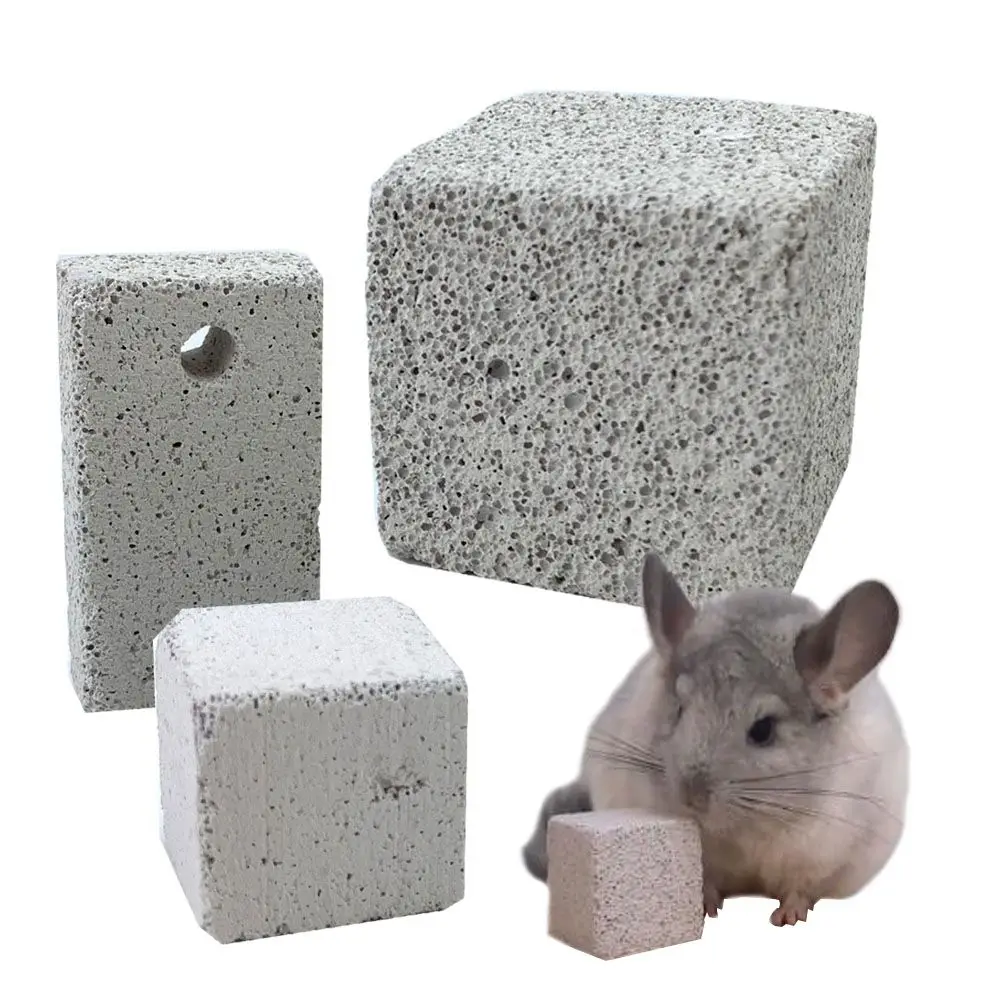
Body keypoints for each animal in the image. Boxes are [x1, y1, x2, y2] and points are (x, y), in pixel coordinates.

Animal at [522, 551, 908, 926]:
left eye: (763, 730)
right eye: (679, 708)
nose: (691, 797)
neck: (746, 830)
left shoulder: (828, 854)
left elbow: (802, 888)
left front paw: (788, 916)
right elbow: (706, 879)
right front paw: (706, 905)